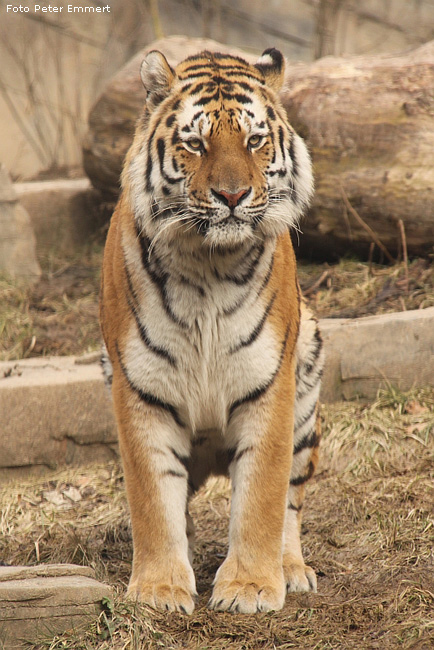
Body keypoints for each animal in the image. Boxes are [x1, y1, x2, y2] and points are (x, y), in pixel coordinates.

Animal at [100, 46, 324, 612]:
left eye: (254, 140)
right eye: (195, 144)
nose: (232, 194)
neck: (209, 264)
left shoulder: (270, 385)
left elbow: (262, 496)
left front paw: (250, 587)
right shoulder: (140, 388)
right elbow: (153, 498)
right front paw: (159, 589)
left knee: (290, 503)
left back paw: (292, 569)